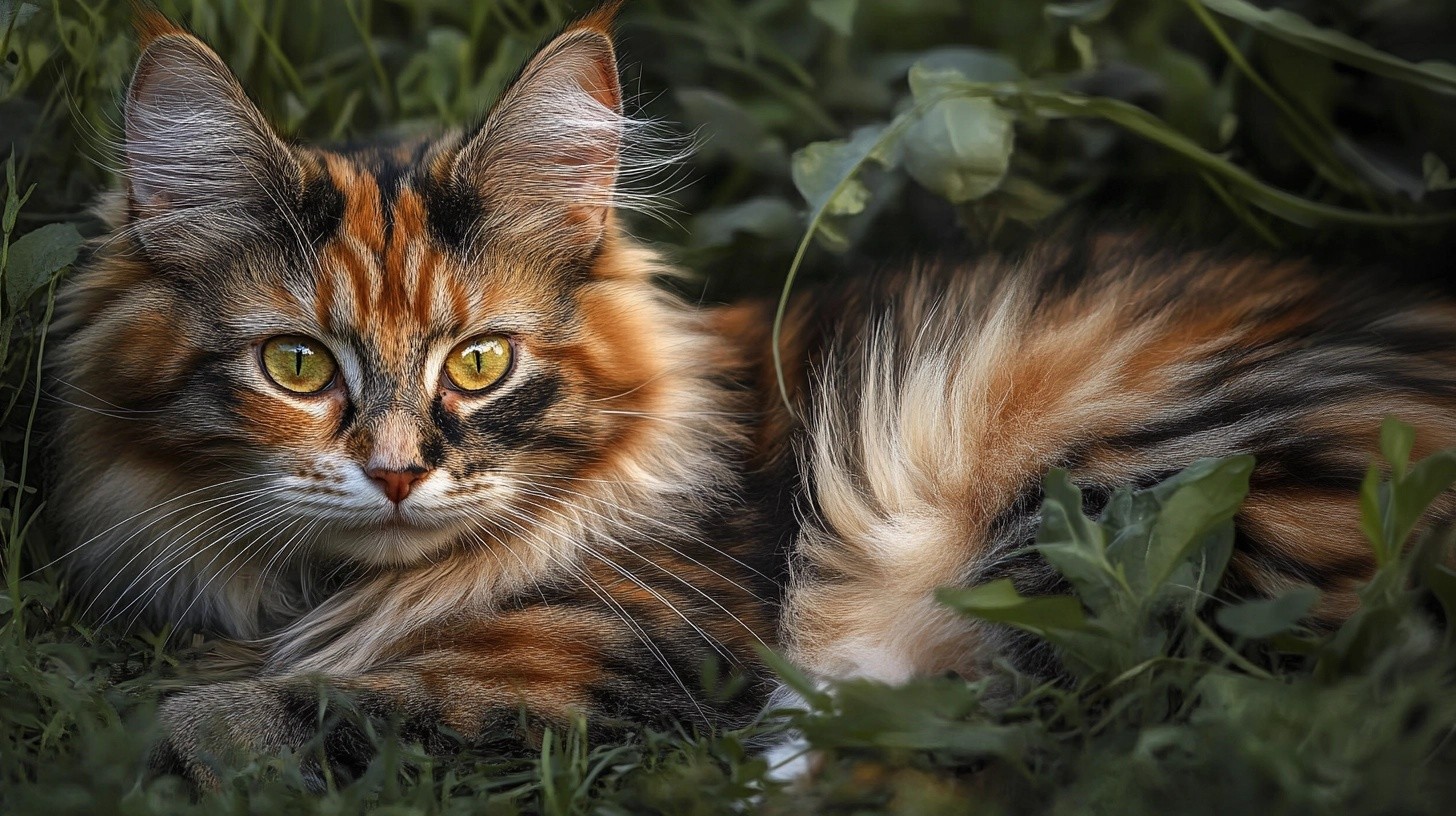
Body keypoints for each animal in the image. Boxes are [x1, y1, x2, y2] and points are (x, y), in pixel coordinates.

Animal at [45, 1, 1456, 786]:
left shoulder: (611, 662)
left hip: (1117, 501)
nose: (397, 472)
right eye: (297, 365)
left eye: (479, 363)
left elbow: (249, 717)